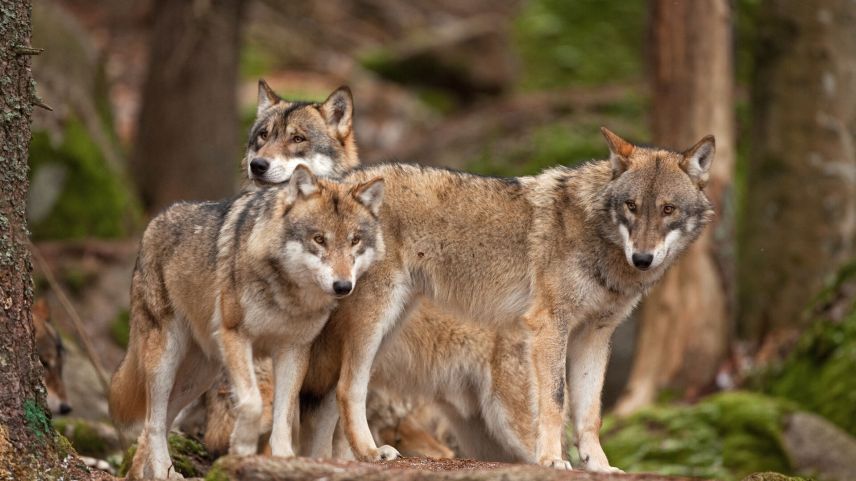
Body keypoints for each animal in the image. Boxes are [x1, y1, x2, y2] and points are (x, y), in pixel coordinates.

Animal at [107, 167, 384, 478]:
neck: (288, 296)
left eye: (354, 240)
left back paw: (149, 473)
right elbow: (252, 403)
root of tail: (154, 221)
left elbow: (284, 415)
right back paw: (164, 474)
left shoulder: (293, 350)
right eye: (319, 239)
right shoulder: (235, 336)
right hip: (165, 362)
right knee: (153, 421)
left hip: (198, 377)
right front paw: (241, 446)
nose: (343, 286)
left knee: (158, 421)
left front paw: (284, 459)